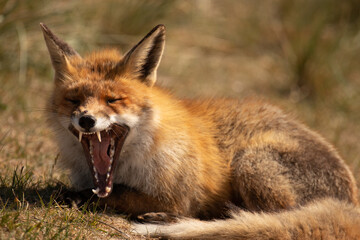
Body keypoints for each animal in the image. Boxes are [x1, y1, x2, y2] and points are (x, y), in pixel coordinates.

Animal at [42, 23, 360, 240]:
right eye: (74, 100)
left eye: (112, 100)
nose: (86, 120)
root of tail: (350, 206)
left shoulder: (178, 196)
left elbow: (113, 195)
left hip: (250, 163)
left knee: (263, 218)